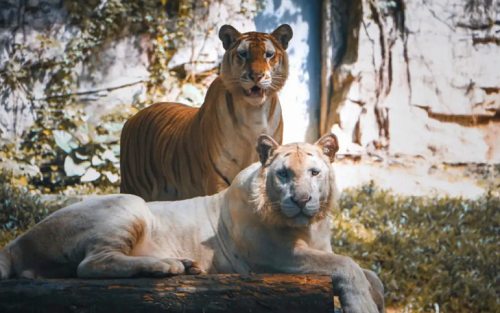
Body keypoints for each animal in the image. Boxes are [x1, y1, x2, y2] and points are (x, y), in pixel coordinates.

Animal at [0, 134, 384, 312]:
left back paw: (186, 266)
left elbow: (372, 275)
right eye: (285, 174)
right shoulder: (275, 257)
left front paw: (375, 297)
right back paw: (167, 266)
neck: (311, 224)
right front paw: (361, 305)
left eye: (314, 173)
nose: (302, 200)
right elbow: (347, 265)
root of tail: (16, 242)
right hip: (131, 204)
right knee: (91, 265)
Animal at [120, 23, 292, 200]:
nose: (256, 76)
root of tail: (130, 119)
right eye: (243, 54)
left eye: (269, 54)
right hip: (132, 187)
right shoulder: (216, 177)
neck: (254, 112)